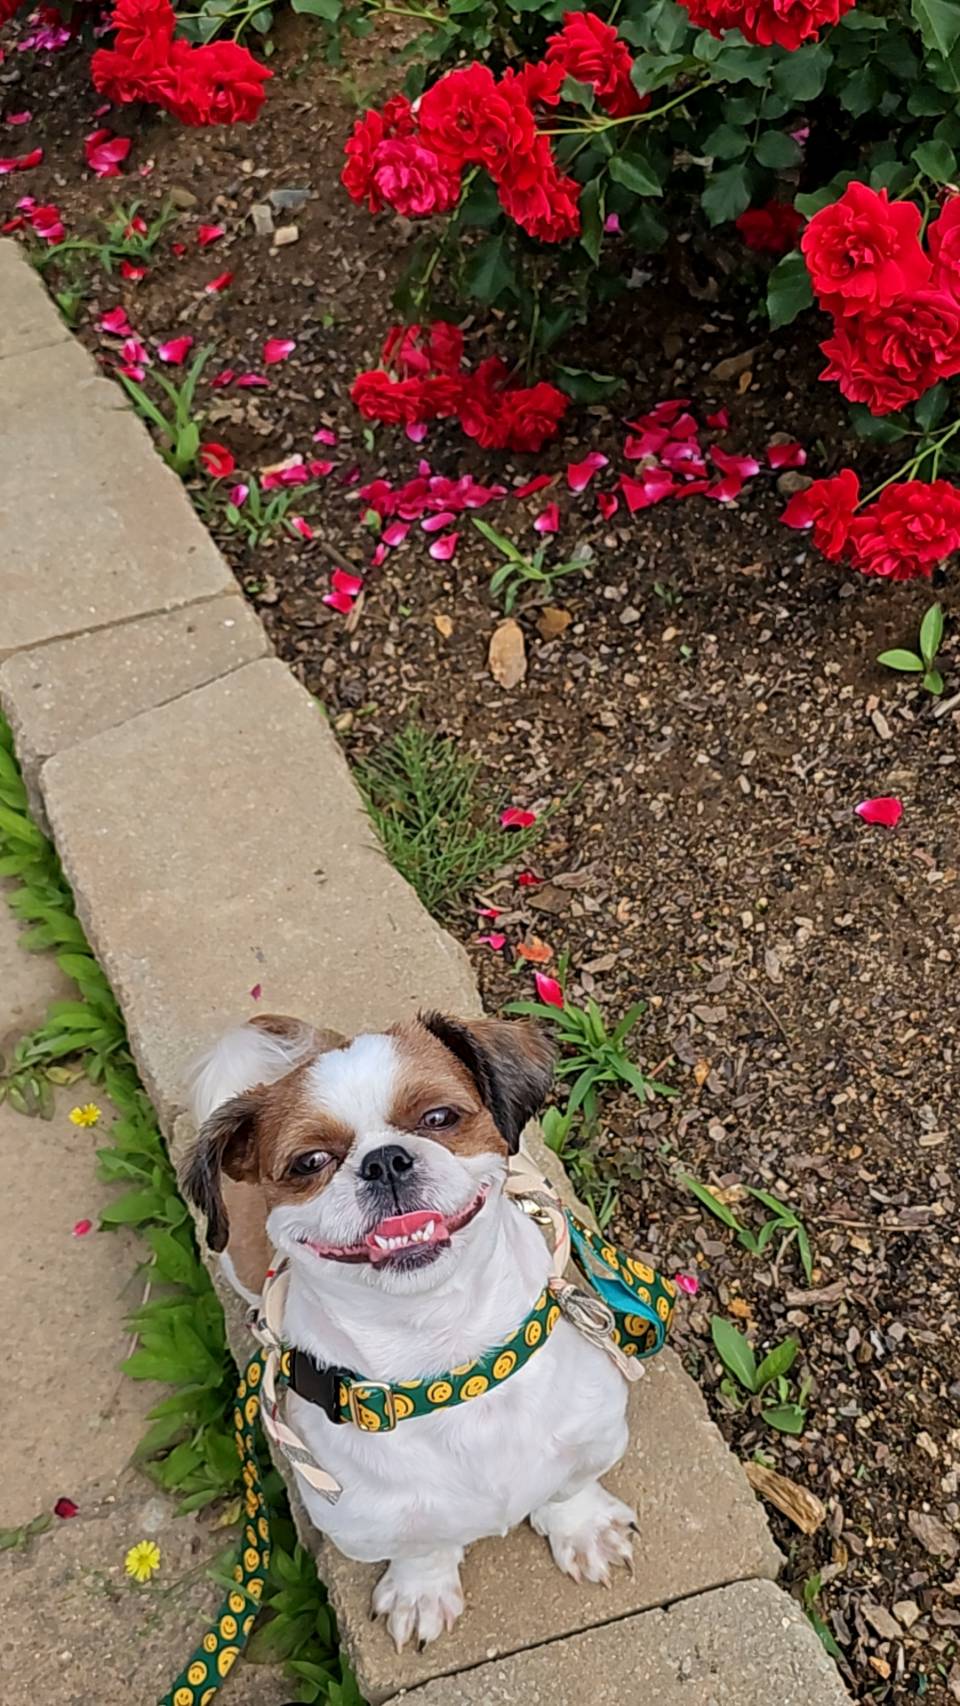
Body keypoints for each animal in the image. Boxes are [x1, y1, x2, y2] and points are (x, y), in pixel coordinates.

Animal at [184, 1011, 634, 1650]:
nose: (385, 1159)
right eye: (310, 1162)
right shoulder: (365, 1521)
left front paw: (584, 1527)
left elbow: (567, 1487)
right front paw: (421, 1591)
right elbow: (421, 1546)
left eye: (439, 1118)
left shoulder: (594, 1432)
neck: (443, 1354)